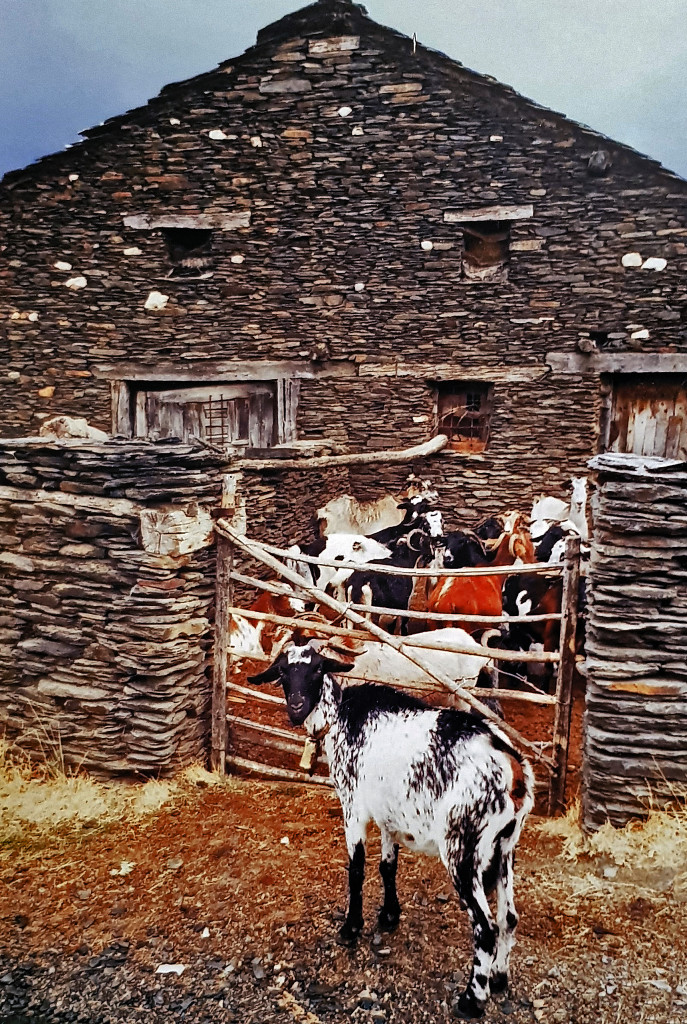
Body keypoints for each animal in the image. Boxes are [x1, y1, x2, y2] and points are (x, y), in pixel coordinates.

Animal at [249, 638, 536, 1015]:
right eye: (283, 672)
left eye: (317, 669)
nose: (296, 707)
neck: (341, 718)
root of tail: (513, 768)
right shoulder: (390, 815)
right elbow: (388, 866)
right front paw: (388, 916)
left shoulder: (353, 805)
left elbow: (357, 868)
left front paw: (351, 927)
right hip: (505, 847)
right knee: (509, 917)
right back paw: (499, 979)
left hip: (463, 847)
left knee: (485, 927)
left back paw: (471, 1000)